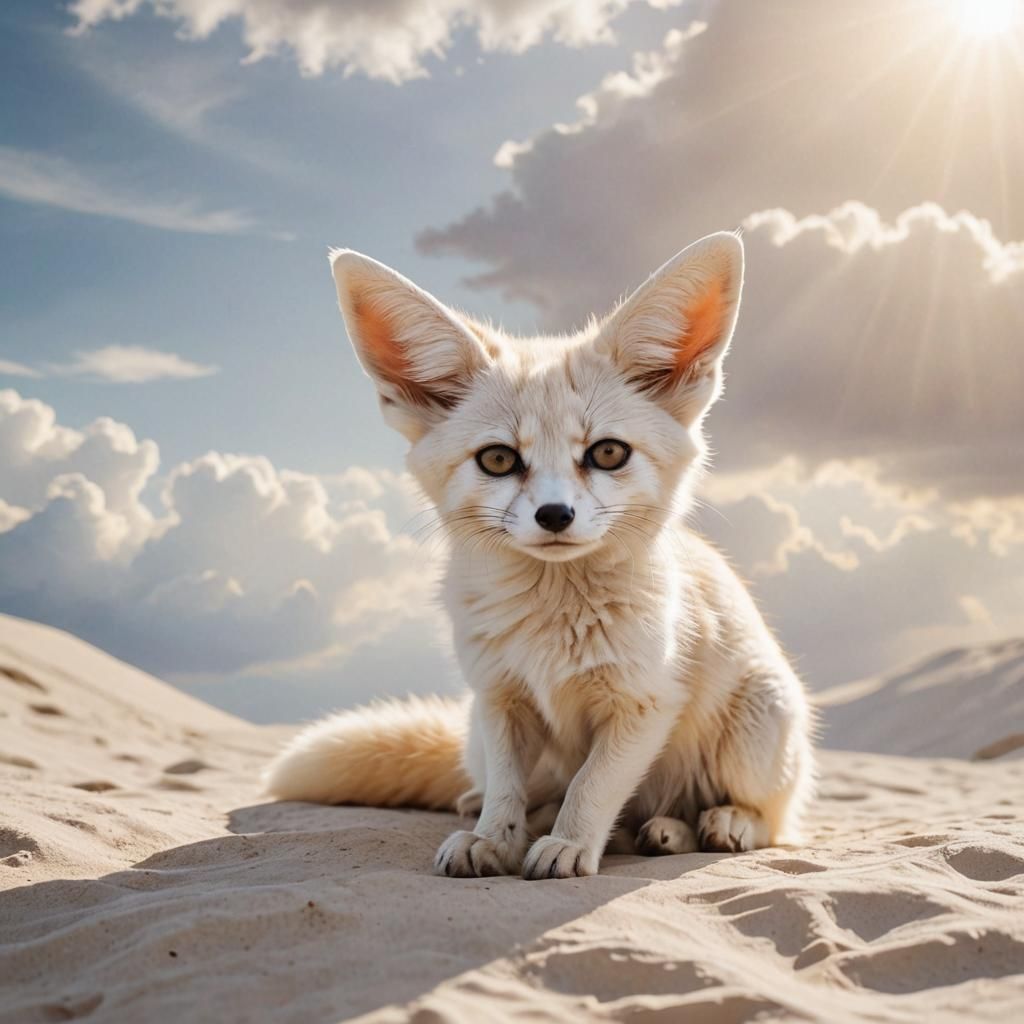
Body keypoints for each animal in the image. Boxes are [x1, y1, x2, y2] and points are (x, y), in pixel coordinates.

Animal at [264, 232, 814, 879]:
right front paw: (494, 840)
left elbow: (593, 786)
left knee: (767, 819)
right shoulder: (501, 698)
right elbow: (510, 791)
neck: (554, 624)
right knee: (535, 792)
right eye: (499, 459)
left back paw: (708, 824)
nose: (555, 515)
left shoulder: (643, 704)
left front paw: (569, 846)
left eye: (607, 453)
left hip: (758, 723)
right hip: (477, 732)